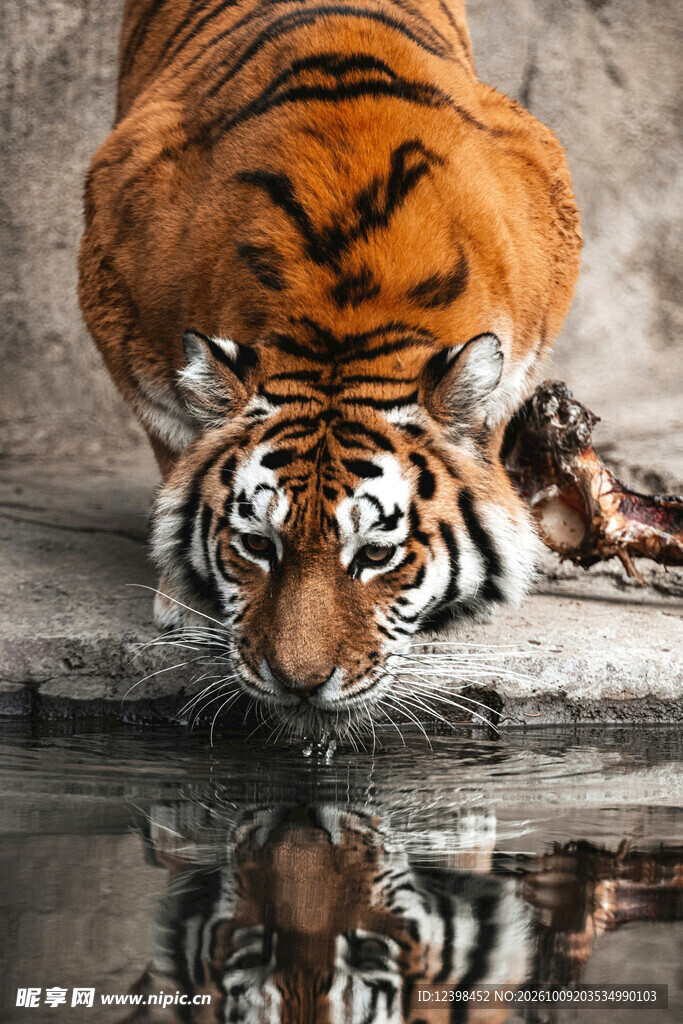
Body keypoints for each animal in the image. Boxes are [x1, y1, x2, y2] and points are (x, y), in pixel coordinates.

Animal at [79, 0, 581, 737]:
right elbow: (175, 445)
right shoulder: (119, 300)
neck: (341, 323)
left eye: (374, 555)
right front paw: (185, 595)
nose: (300, 685)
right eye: (257, 545)